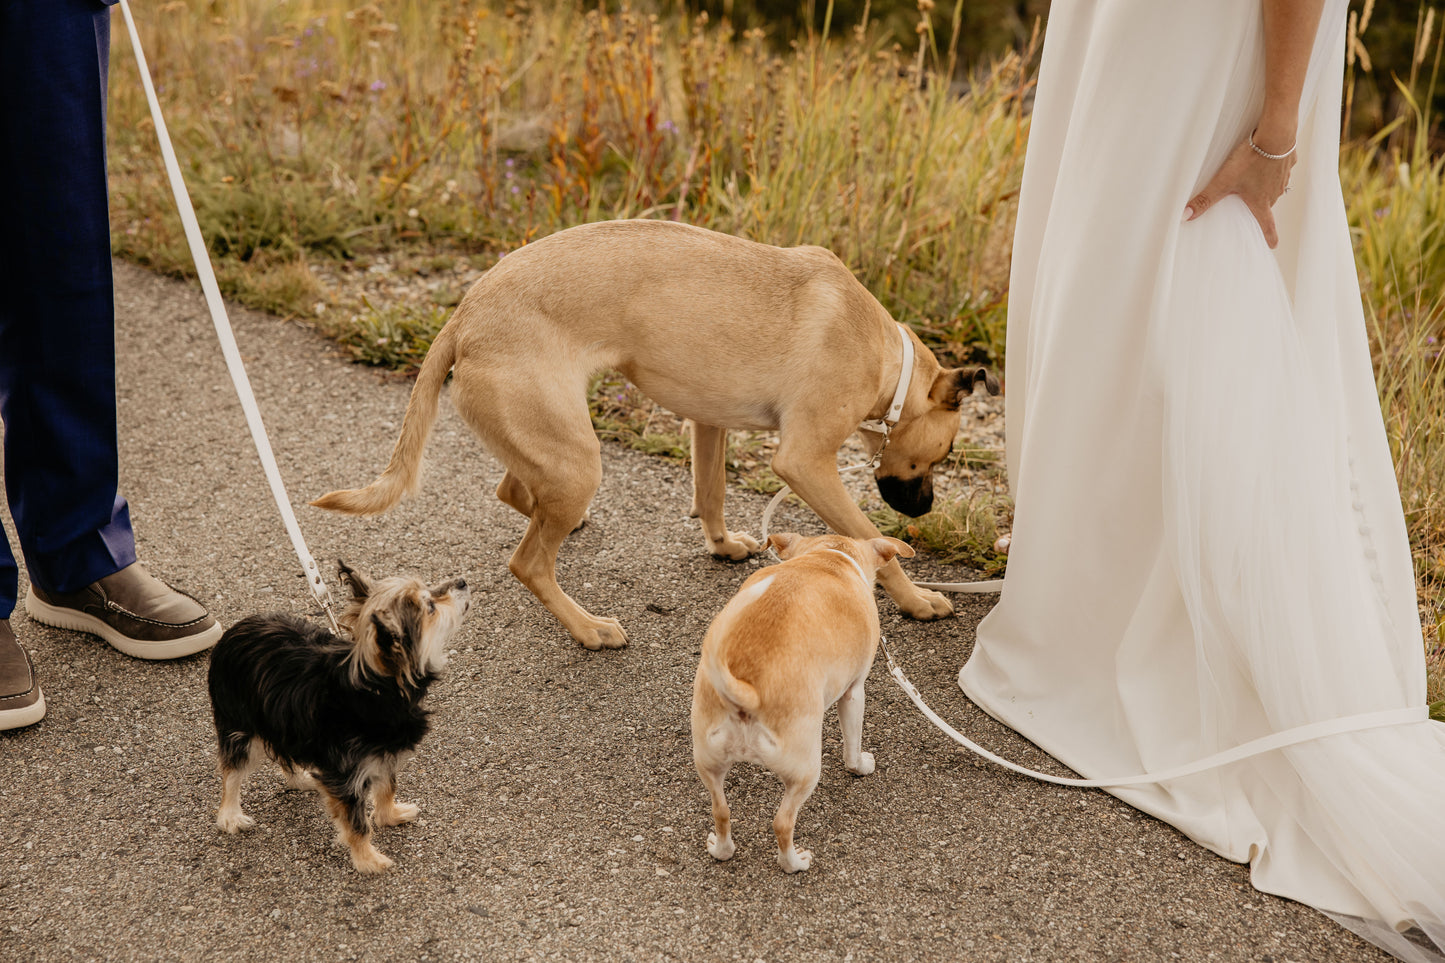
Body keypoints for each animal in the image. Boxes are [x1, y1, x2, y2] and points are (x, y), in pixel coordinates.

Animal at [209, 563, 471, 867]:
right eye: (430, 606)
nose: (462, 581)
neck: (377, 687)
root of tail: (235, 630)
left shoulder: (383, 754)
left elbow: (387, 787)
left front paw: (389, 816)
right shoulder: (346, 777)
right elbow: (356, 823)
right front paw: (368, 861)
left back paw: (300, 779)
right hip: (239, 724)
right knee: (232, 770)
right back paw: (230, 815)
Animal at [313, 219, 994, 644]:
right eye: (945, 453)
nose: (924, 512)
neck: (886, 361)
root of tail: (464, 315)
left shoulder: (709, 421)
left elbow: (710, 491)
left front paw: (721, 544)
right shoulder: (805, 463)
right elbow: (870, 541)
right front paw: (914, 597)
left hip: (555, 442)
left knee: (516, 491)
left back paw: (557, 521)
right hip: (577, 457)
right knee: (528, 561)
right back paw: (588, 628)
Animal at [690, 532, 907, 867]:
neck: (828, 556)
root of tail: (748, 691)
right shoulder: (854, 693)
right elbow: (853, 745)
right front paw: (860, 766)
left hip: (708, 761)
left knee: (721, 811)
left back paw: (721, 850)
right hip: (805, 771)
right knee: (782, 822)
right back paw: (794, 863)